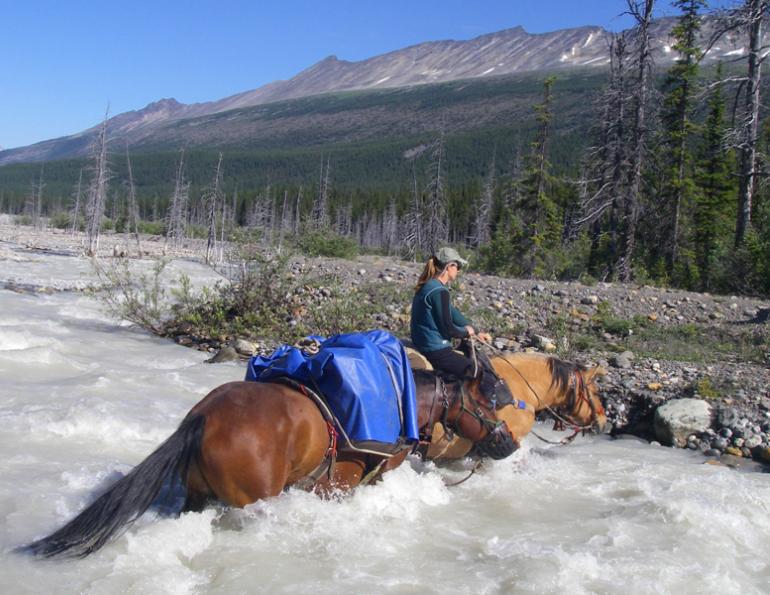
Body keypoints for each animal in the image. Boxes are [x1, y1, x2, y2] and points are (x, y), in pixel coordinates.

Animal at [22, 368, 515, 558]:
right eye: (487, 401)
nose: (508, 442)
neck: (401, 400)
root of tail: (202, 416)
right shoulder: (341, 485)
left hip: (197, 497)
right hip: (255, 499)